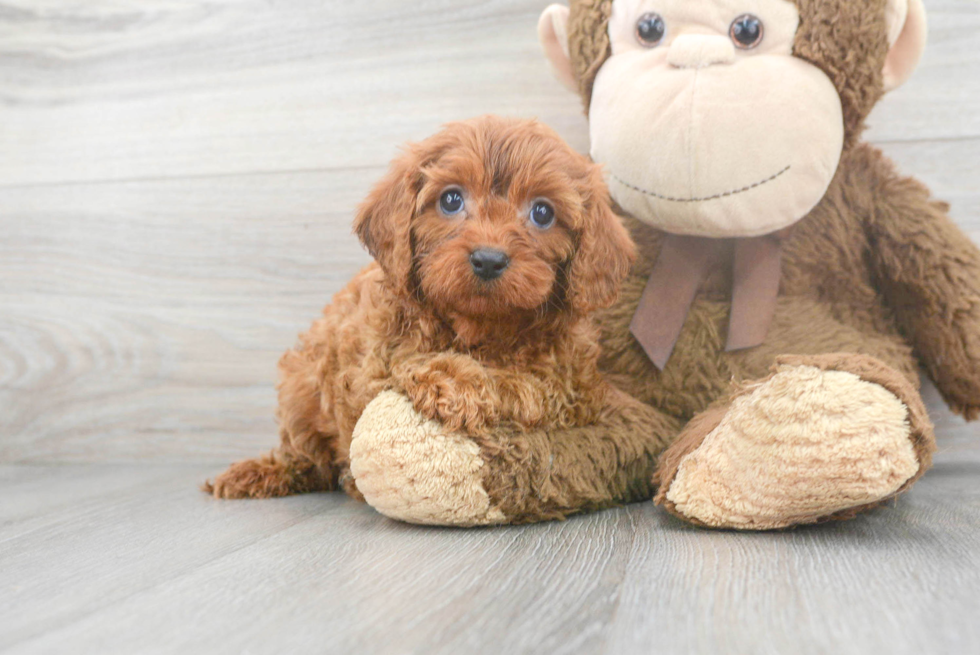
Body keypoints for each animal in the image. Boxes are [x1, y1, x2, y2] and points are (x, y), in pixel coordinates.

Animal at [207, 115, 636, 500]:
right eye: (451, 199)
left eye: (543, 212)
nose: (489, 259)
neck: (479, 326)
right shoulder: (372, 363)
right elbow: (399, 368)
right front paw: (453, 377)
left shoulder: (571, 385)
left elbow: (529, 384)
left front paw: (467, 379)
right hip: (302, 382)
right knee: (304, 452)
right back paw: (264, 472)